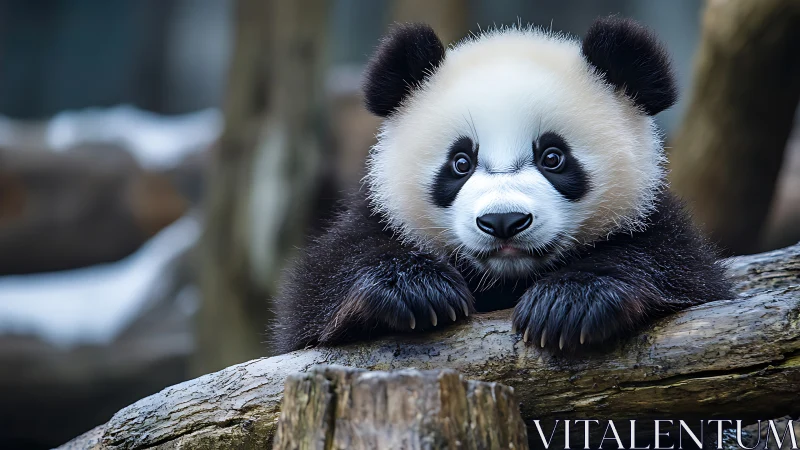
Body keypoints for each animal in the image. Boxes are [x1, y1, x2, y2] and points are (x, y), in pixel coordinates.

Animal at [273, 16, 732, 355]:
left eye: (553, 157)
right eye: (460, 163)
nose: (504, 221)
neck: (505, 280)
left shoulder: (660, 227)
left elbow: (678, 272)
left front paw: (569, 303)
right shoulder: (375, 221)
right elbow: (318, 297)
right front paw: (416, 290)